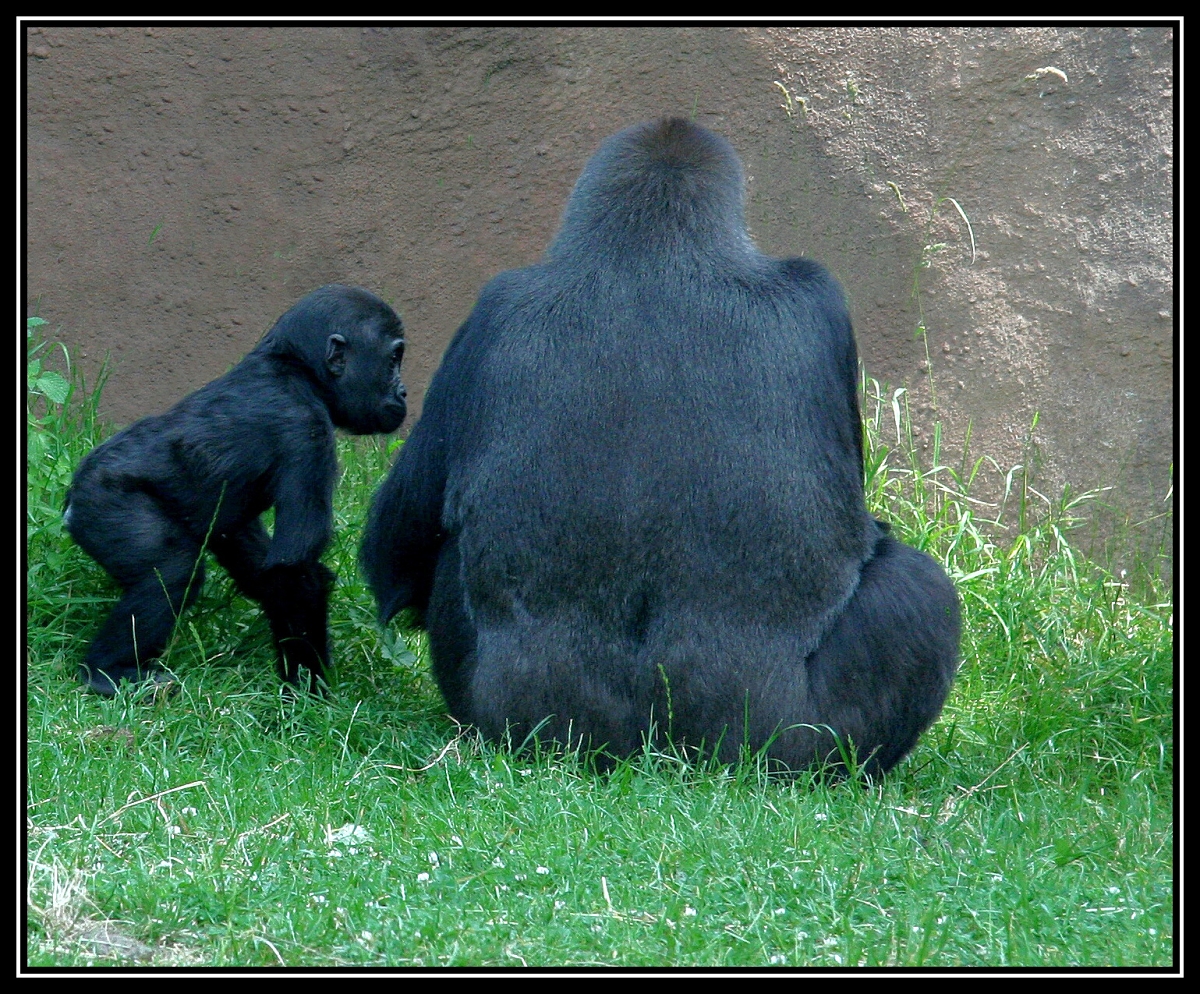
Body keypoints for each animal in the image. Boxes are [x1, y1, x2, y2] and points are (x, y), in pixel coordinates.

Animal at [65, 283, 408, 696]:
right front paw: (309, 689)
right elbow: (292, 571)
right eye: (393, 360)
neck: (295, 367)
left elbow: (253, 553)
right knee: (169, 572)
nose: (404, 392)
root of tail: (72, 500)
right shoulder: (306, 431)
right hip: (105, 504)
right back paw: (106, 671)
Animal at [360, 118, 960, 777]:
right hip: (780, 746)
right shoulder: (817, 297)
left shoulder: (487, 313)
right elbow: (396, 549)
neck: (656, 251)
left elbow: (399, 546)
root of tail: (659, 757)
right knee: (919, 592)